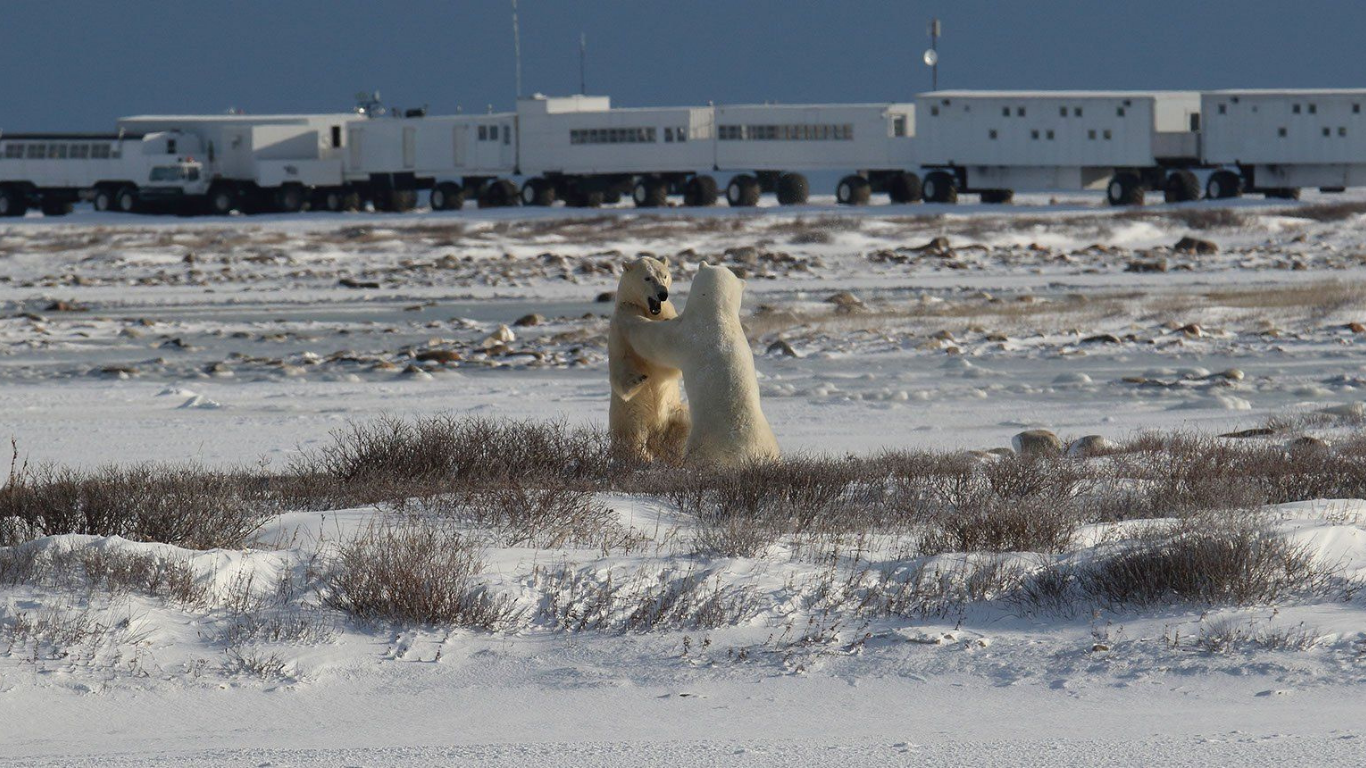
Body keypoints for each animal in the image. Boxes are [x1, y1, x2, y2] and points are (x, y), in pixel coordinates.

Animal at [608, 256, 690, 462]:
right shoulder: (620, 323)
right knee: (633, 442)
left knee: (683, 426)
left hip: (674, 411)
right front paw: (638, 380)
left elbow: (669, 367)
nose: (663, 294)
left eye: (664, 275)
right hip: (630, 419)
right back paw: (643, 457)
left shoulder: (667, 311)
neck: (648, 311)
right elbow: (621, 362)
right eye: (647, 278)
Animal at [618, 263, 779, 466]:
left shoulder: (687, 335)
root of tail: (745, 452)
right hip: (769, 443)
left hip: (706, 440)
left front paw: (628, 313)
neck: (717, 315)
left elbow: (654, 341)